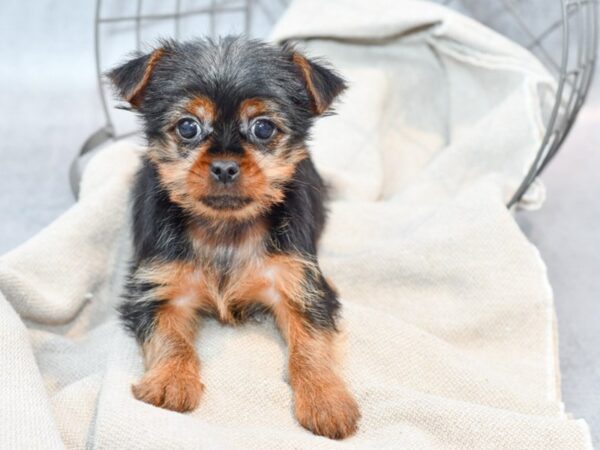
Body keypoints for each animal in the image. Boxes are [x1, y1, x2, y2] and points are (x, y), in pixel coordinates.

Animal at [109, 37, 358, 440]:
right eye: (188, 127)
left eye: (263, 128)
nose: (225, 167)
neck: (225, 229)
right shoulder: (160, 288)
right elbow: (170, 338)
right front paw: (170, 381)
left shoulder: (300, 286)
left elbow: (311, 346)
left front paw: (325, 399)